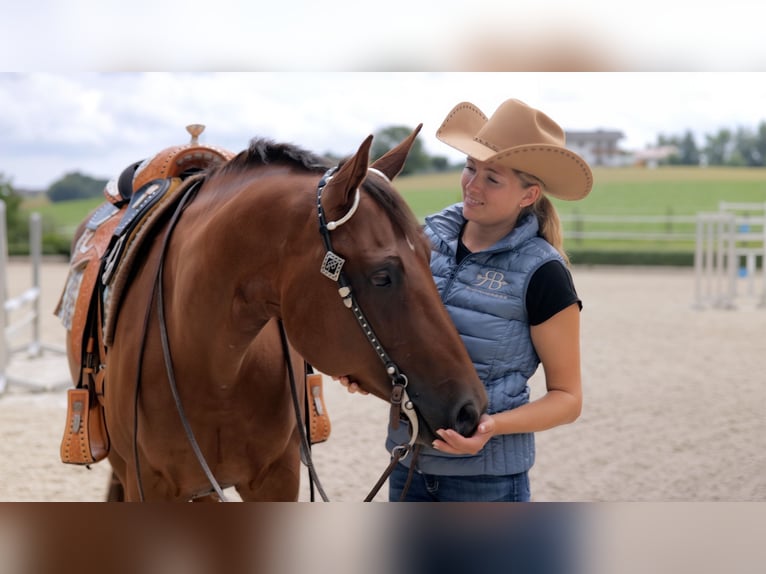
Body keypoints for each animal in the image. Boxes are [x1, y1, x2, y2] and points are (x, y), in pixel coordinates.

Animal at [63, 126, 488, 501]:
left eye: (429, 254)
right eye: (382, 276)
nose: (471, 409)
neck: (210, 366)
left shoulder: (277, 478)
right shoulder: (148, 485)